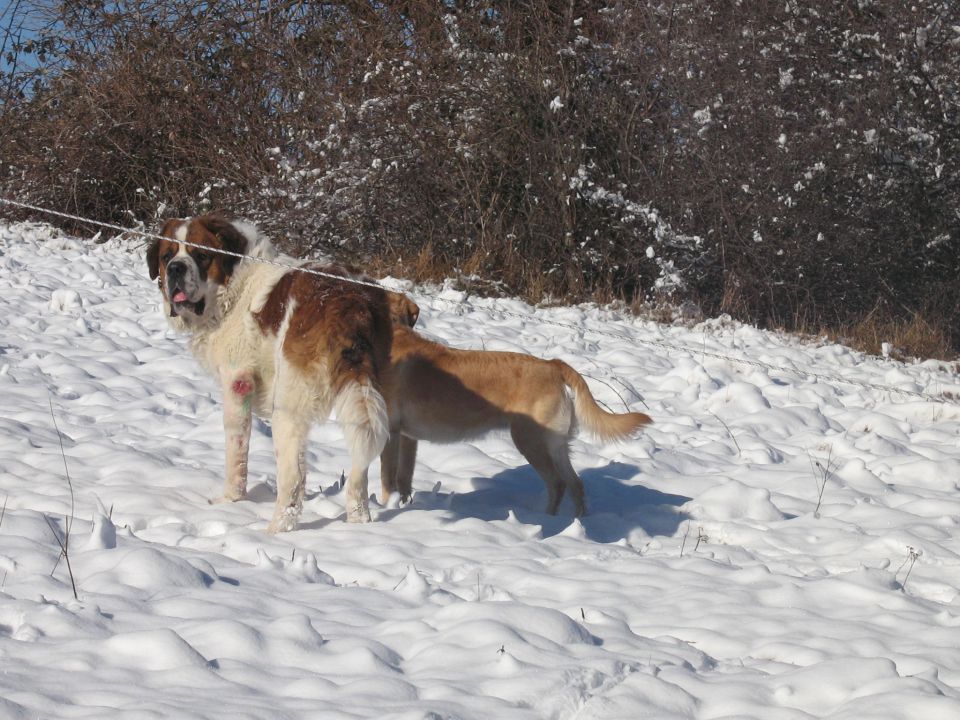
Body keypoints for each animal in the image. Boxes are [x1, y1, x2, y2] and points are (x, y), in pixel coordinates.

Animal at [147, 214, 394, 536]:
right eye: (167, 256)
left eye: (201, 255)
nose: (176, 268)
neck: (234, 288)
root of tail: (348, 303)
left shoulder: (237, 384)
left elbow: (236, 452)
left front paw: (231, 500)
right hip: (366, 398)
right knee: (359, 464)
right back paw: (359, 523)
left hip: (287, 409)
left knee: (292, 479)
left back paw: (274, 531)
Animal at [382, 294, 652, 516]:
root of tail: (552, 364)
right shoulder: (408, 438)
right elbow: (403, 479)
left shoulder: (391, 431)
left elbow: (388, 480)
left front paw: (386, 508)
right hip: (555, 444)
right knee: (575, 484)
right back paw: (577, 523)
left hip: (529, 440)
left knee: (557, 483)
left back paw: (547, 522)